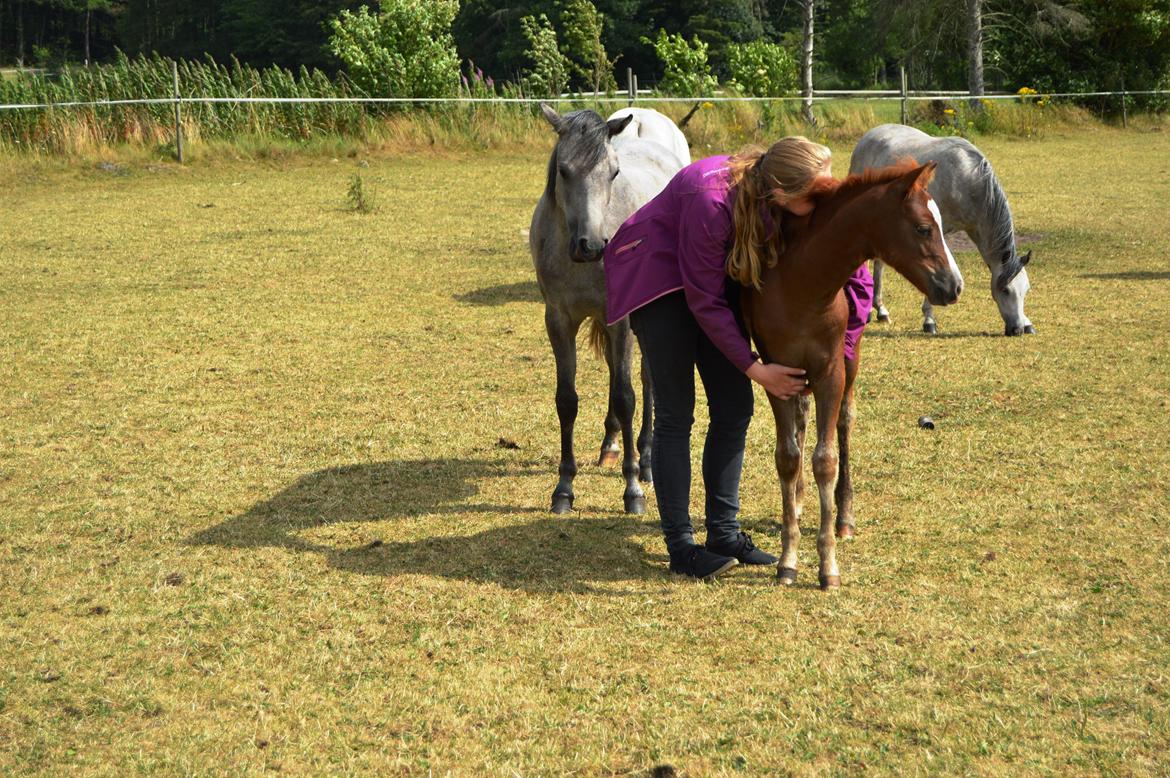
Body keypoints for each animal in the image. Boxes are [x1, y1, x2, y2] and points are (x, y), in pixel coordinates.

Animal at [530, 104, 685, 515]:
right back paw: (611, 443)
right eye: (564, 170)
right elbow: (566, 399)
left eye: (613, 172)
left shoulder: (622, 320)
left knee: (646, 380)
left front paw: (633, 489)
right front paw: (564, 488)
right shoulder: (558, 320)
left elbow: (626, 397)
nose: (592, 245)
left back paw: (646, 460)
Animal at [742, 160, 964, 590]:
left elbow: (826, 459)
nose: (954, 285)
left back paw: (843, 517)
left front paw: (827, 565)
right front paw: (788, 559)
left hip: (850, 359)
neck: (801, 284)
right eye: (923, 228)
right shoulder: (775, 373)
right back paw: (798, 499)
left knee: (844, 422)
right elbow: (788, 457)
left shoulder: (830, 373)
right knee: (803, 422)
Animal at [848, 124, 1033, 335]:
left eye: (1026, 290)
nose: (1017, 329)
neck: (967, 180)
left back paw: (881, 310)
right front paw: (929, 320)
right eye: (1005, 290)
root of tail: (868, 136)